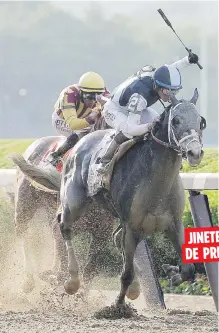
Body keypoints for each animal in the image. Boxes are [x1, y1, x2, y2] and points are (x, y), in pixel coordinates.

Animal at [10, 89, 206, 308]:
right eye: (176, 121)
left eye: (201, 122)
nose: (195, 152)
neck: (157, 185)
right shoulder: (130, 226)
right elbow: (123, 273)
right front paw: (116, 306)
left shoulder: (172, 224)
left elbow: (189, 269)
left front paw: (171, 273)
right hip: (45, 206)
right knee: (44, 231)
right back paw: (51, 281)